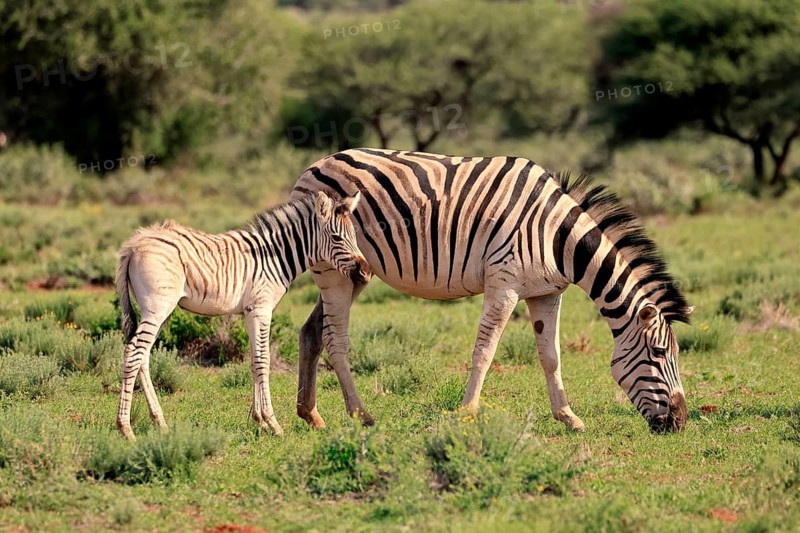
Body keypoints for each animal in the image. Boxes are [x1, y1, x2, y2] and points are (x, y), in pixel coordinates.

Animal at [114, 191, 371, 440]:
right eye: (337, 238)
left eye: (355, 236)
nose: (366, 272)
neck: (274, 256)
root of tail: (133, 245)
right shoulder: (261, 308)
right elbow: (264, 360)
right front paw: (273, 423)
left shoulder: (250, 310)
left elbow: (254, 360)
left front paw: (260, 421)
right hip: (158, 307)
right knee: (133, 352)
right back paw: (126, 429)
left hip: (159, 310)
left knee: (143, 355)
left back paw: (160, 423)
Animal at [290, 148, 694, 433]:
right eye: (660, 353)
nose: (680, 422)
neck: (559, 238)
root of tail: (313, 165)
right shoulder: (504, 282)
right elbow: (485, 351)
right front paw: (467, 412)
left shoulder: (546, 292)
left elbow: (551, 356)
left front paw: (568, 417)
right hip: (335, 273)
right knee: (335, 338)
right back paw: (362, 415)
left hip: (354, 272)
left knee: (311, 331)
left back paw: (311, 415)